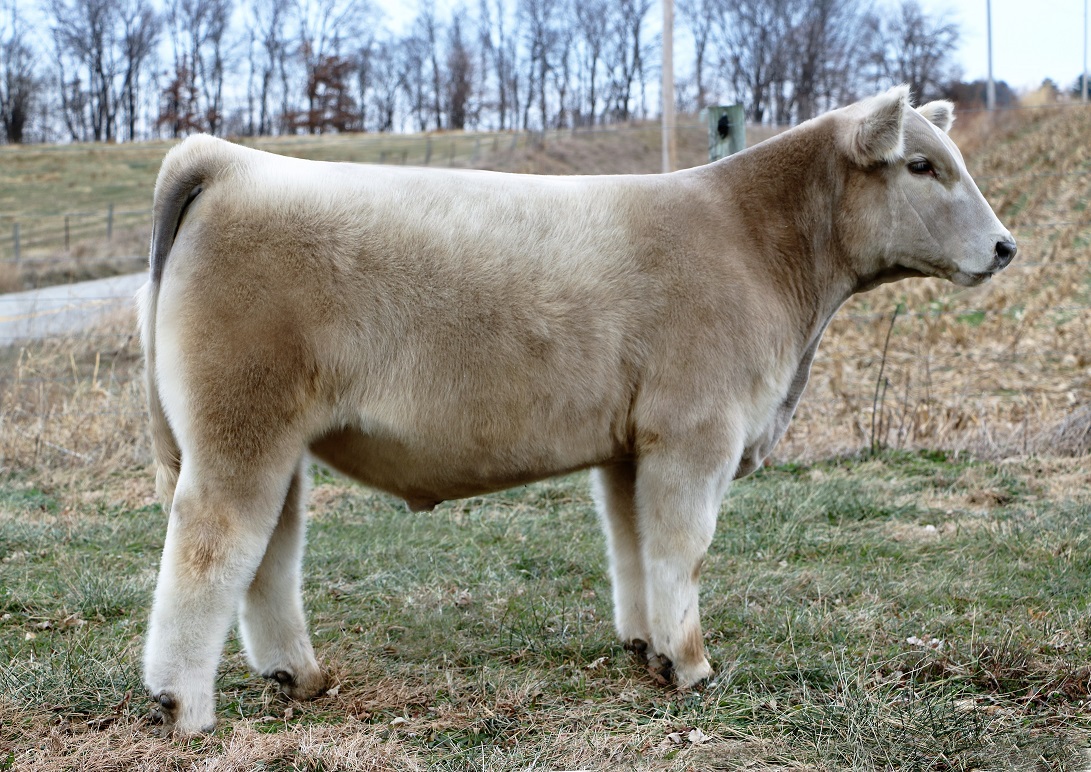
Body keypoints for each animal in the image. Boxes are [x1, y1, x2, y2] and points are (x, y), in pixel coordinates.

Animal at [137, 85, 1015, 734]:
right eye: (920, 165)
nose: (1006, 246)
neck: (757, 243)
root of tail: (230, 160)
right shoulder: (696, 431)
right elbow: (681, 548)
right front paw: (692, 667)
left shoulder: (631, 445)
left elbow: (633, 545)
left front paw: (646, 648)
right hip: (240, 428)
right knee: (214, 544)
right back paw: (185, 706)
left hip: (274, 440)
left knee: (271, 552)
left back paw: (299, 676)